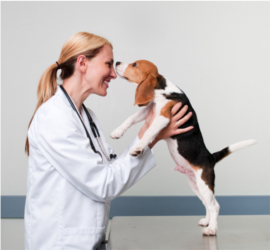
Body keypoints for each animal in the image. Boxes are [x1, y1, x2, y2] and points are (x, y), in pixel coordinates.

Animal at [110, 59, 258, 235]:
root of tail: (210, 157)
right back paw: (207, 222)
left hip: (204, 183)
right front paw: (117, 131)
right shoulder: (149, 110)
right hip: (196, 185)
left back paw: (212, 229)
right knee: (207, 204)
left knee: (214, 206)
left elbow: (149, 132)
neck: (162, 89)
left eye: (135, 65)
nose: (117, 62)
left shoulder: (163, 116)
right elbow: (131, 118)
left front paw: (138, 148)